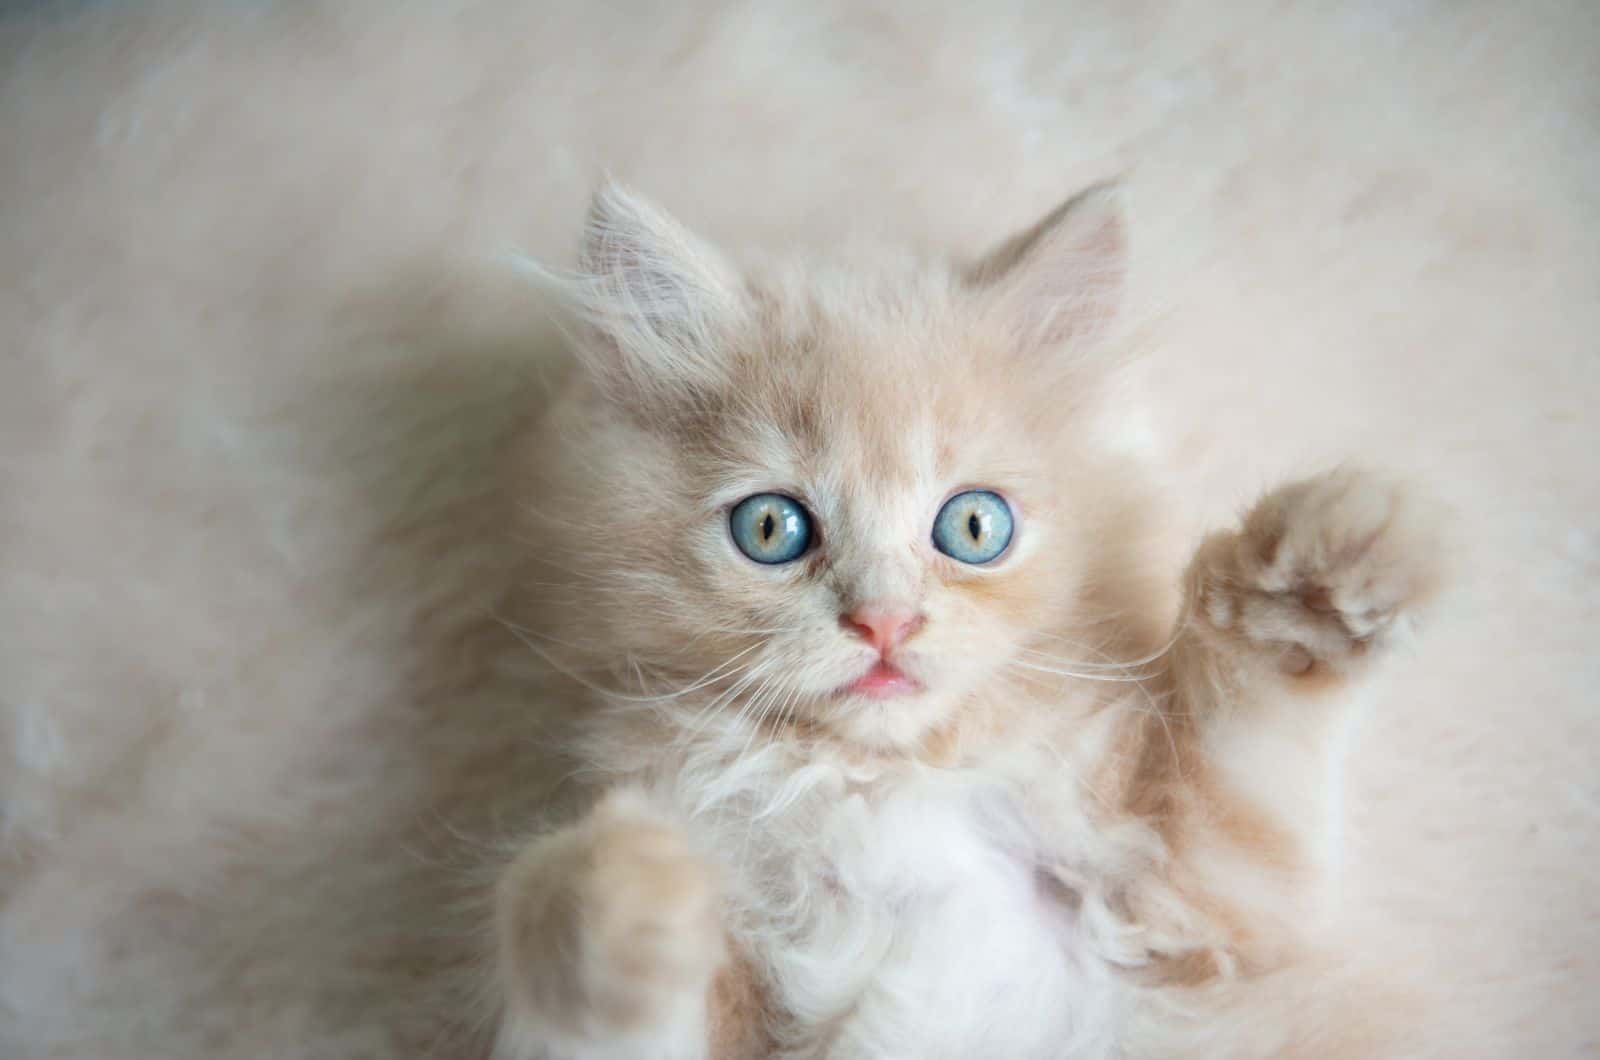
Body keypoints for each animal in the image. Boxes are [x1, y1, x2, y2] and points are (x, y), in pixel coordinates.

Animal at [486, 184, 1440, 1060]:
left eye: (975, 527)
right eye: (771, 529)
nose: (883, 623)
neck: (879, 785)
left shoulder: (1197, 918)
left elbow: (1246, 754)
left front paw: (1318, 580)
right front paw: (617, 897)